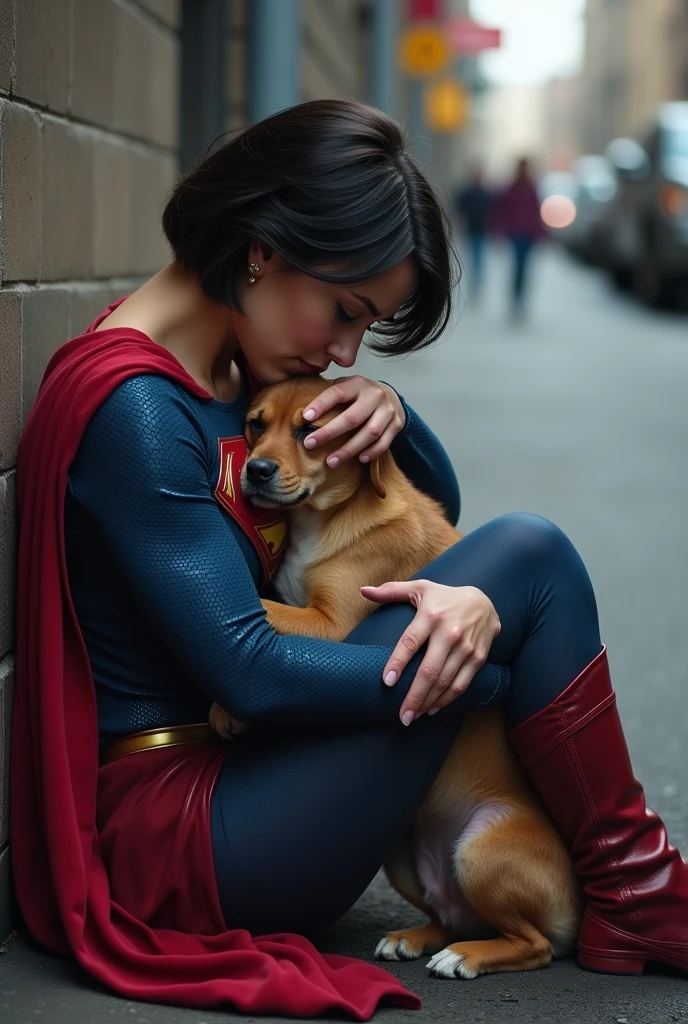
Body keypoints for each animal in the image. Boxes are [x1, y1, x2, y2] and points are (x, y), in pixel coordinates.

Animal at [209, 374, 581, 974]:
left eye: (310, 432)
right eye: (254, 426)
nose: (257, 470)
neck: (322, 522)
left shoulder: (333, 624)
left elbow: (263, 614)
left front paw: (222, 708)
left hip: (482, 852)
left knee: (535, 946)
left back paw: (464, 957)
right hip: (403, 857)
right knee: (450, 915)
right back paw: (415, 936)